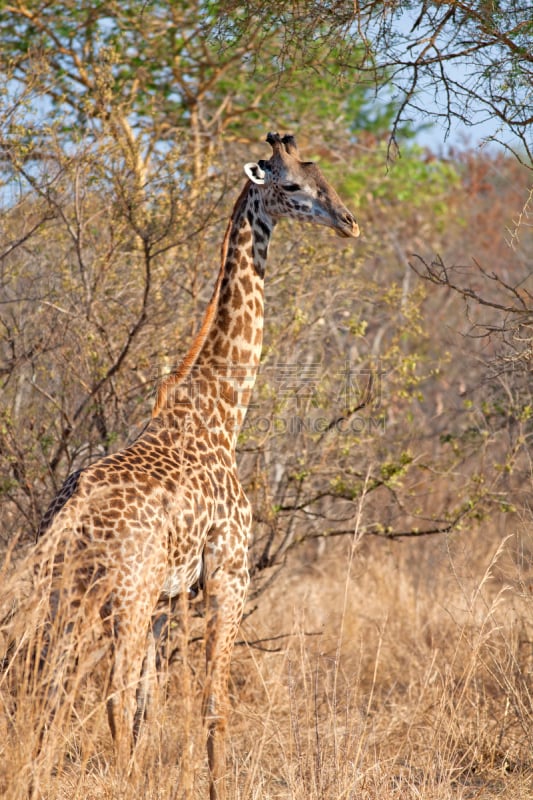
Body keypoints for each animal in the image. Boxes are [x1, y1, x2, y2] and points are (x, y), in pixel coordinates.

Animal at [8, 133, 360, 800]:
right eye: (292, 186)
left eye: (323, 175)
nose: (349, 222)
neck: (221, 413)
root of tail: (69, 516)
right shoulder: (228, 576)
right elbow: (209, 704)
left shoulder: (168, 598)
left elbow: (152, 706)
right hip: (123, 595)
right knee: (107, 693)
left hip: (70, 597)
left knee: (53, 686)